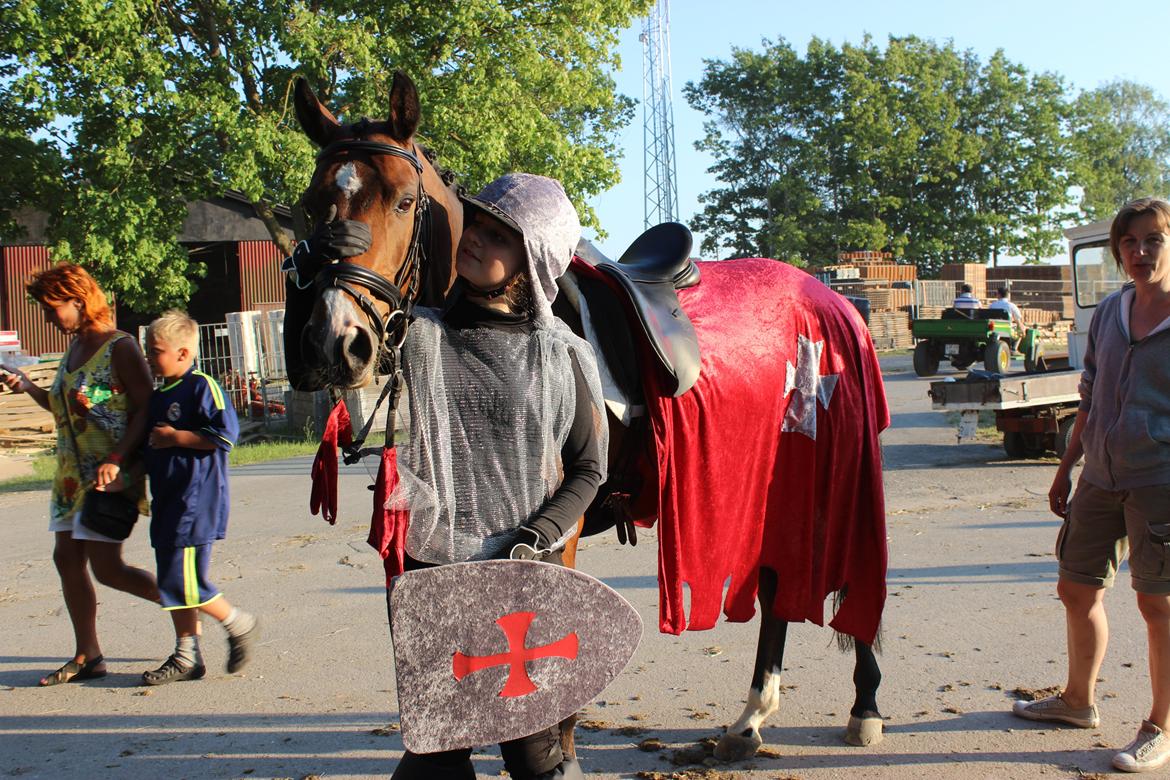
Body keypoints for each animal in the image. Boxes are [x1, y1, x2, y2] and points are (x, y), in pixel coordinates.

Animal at [283, 71, 888, 763]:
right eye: (312, 204)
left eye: (406, 202)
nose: (337, 342)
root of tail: (829, 295)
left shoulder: (557, 523)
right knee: (775, 586)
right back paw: (750, 720)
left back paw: (863, 704)